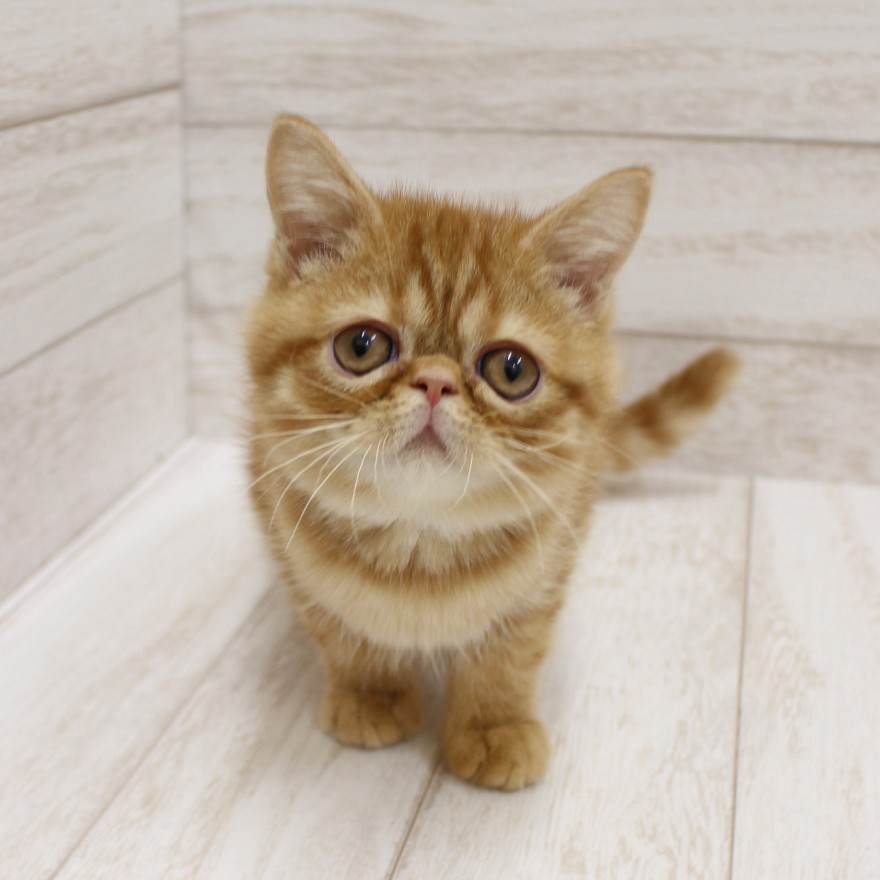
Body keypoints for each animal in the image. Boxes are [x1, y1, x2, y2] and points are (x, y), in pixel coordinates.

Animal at [246, 115, 738, 791]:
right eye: (362, 346)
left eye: (511, 369)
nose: (435, 381)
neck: (419, 546)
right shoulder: (287, 543)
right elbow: (339, 631)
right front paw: (370, 693)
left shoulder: (548, 572)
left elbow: (511, 656)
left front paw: (493, 727)